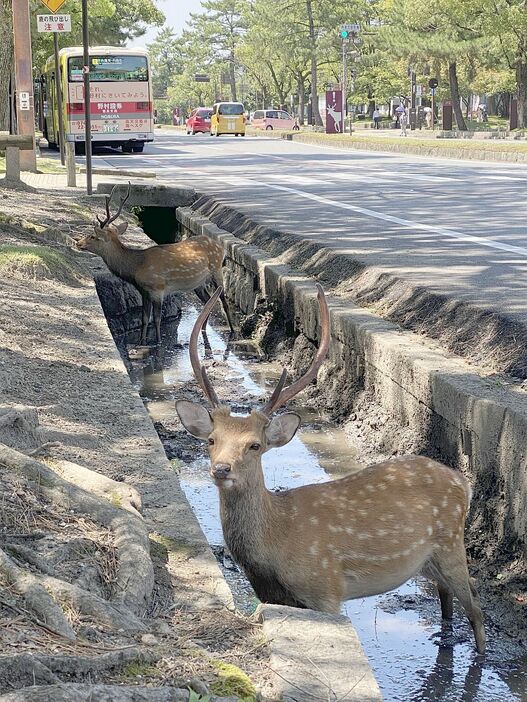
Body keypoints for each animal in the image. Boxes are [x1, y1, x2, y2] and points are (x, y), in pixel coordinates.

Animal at [77, 184, 234, 344]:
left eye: (93, 236)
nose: (78, 243)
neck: (136, 267)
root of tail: (221, 247)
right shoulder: (144, 291)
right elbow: (145, 318)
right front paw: (142, 341)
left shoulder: (158, 289)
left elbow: (157, 318)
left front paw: (158, 341)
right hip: (198, 283)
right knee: (208, 300)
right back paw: (202, 329)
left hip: (217, 269)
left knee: (224, 301)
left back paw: (232, 332)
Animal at [176, 284, 486, 656]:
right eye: (211, 440)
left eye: (254, 445)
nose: (221, 469)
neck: (273, 549)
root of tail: (463, 483)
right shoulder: (272, 594)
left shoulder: (325, 587)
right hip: (428, 560)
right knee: (448, 599)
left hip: (451, 543)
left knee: (477, 609)